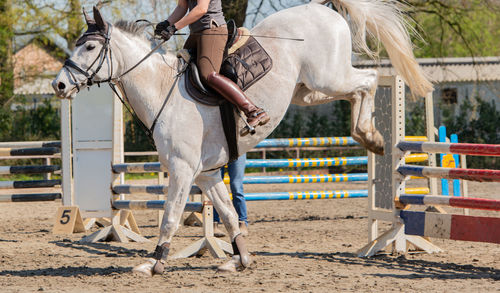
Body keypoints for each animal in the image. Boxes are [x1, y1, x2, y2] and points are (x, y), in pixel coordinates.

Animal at [52, 0, 432, 274]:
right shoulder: (205, 175)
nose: (58, 85)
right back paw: (369, 136)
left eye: (89, 48)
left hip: (328, 77)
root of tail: (322, 8)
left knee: (369, 80)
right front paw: (240, 258)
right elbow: (229, 214)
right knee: (356, 92)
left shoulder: (183, 170)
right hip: (308, 91)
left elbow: (171, 216)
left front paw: (155, 263)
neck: (161, 90)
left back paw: (370, 136)